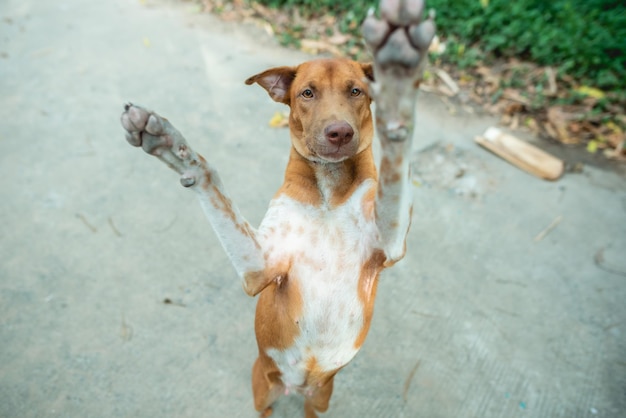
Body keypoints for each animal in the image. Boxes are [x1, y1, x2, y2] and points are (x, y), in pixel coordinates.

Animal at [118, 0, 434, 414]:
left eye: (356, 91)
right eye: (307, 93)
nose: (339, 132)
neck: (329, 192)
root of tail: (297, 387)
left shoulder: (389, 240)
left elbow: (396, 168)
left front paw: (398, 74)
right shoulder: (261, 265)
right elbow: (212, 184)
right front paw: (173, 146)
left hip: (322, 399)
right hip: (262, 388)